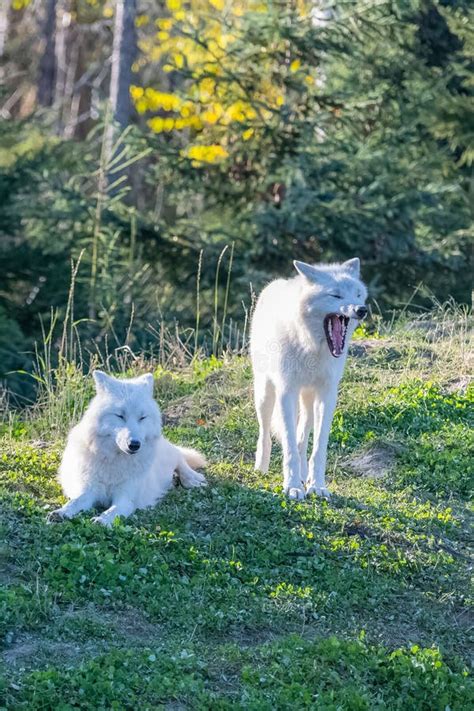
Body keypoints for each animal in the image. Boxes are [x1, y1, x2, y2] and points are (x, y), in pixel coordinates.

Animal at [49, 372, 206, 528]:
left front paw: (101, 521)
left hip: (168, 454)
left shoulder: (125, 498)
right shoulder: (89, 490)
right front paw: (61, 512)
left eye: (142, 417)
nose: (135, 444)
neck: (114, 461)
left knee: (179, 458)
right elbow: (74, 502)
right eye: (120, 416)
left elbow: (112, 511)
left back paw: (192, 479)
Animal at [250, 258, 368, 498]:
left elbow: (317, 448)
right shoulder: (287, 391)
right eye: (336, 295)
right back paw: (261, 468)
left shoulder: (327, 394)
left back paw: (304, 475)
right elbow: (288, 446)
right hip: (266, 394)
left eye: (358, 294)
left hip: (308, 401)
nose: (361, 310)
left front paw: (317, 486)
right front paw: (293, 486)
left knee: (302, 438)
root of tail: (274, 284)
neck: (310, 346)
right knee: (265, 433)